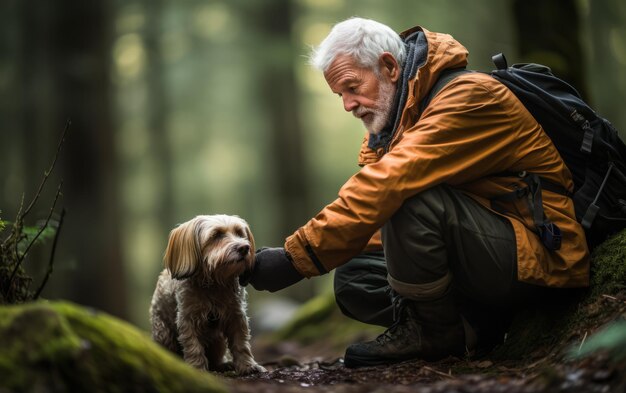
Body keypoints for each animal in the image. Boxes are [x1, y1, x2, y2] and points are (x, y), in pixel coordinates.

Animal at [150, 214, 264, 374]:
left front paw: (247, 365)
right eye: (216, 235)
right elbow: (193, 347)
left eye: (239, 233)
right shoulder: (187, 318)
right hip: (164, 334)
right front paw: (197, 368)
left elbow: (241, 343)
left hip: (217, 340)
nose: (244, 248)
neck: (214, 283)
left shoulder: (236, 315)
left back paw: (223, 365)